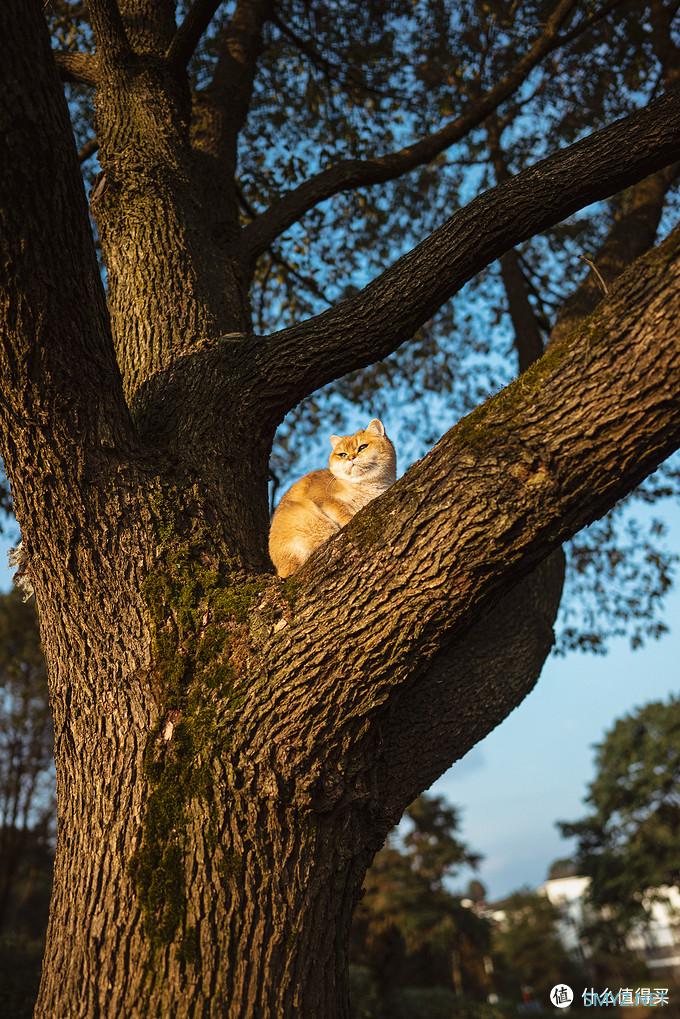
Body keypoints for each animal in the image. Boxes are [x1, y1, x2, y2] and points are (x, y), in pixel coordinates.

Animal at [269, 419, 395, 582]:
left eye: (362, 447)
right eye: (342, 454)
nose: (351, 458)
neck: (365, 486)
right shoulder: (322, 497)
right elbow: (341, 511)